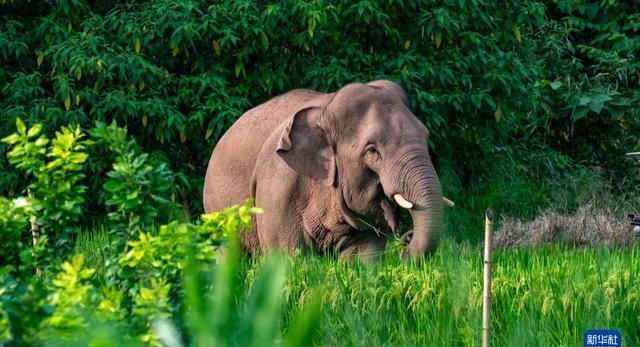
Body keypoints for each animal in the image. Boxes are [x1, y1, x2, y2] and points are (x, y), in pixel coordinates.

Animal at [202, 81, 452, 260]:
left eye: (426, 136)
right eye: (372, 150)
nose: (406, 240)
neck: (326, 108)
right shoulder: (277, 189)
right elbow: (286, 257)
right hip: (218, 210)